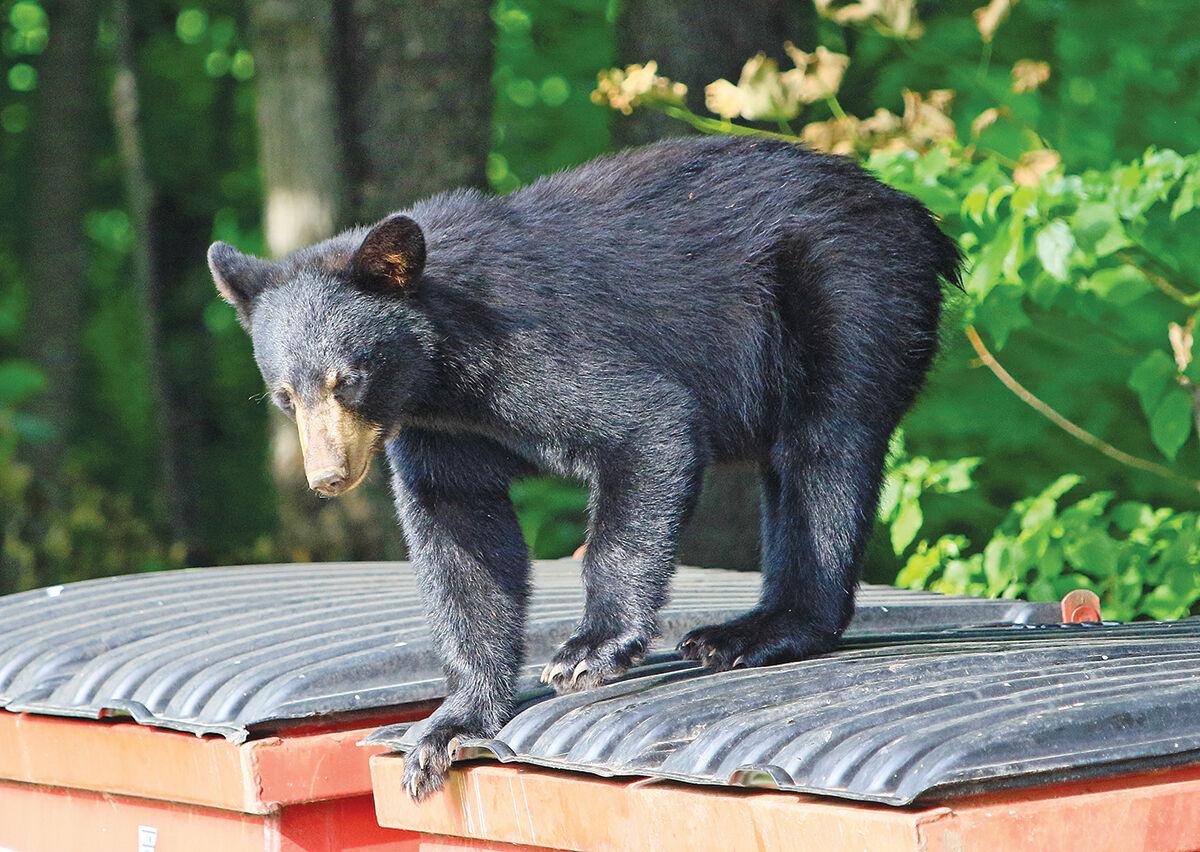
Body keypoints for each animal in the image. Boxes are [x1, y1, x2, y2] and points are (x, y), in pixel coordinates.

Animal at [206, 133, 955, 801]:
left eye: (348, 379)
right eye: (285, 395)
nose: (327, 477)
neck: (442, 370)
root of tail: (913, 213)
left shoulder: (530, 347)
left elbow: (648, 423)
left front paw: (589, 650)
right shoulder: (439, 428)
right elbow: (461, 538)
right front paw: (448, 727)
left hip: (849, 289)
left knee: (823, 451)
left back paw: (756, 632)